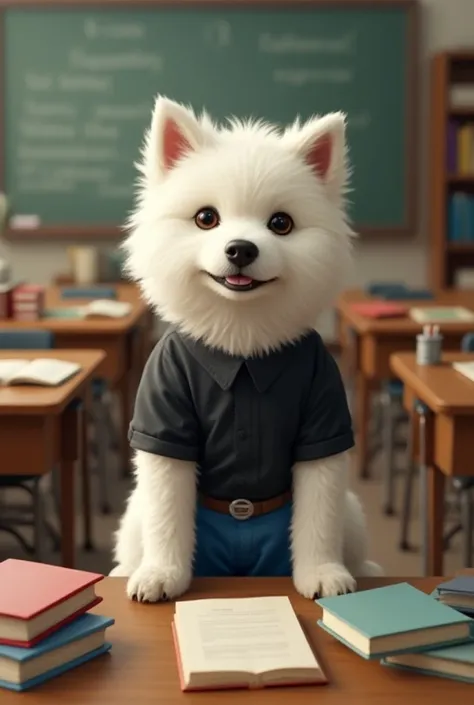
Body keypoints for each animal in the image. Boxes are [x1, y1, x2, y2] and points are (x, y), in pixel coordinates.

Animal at [111, 95, 382, 600]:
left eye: (281, 223)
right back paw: (127, 570)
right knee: (137, 533)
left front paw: (322, 573)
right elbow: (167, 513)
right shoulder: (164, 411)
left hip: (354, 515)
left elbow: (318, 515)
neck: (240, 345)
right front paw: (162, 575)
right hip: (133, 516)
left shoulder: (323, 413)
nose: (241, 249)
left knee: (348, 532)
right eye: (206, 218)